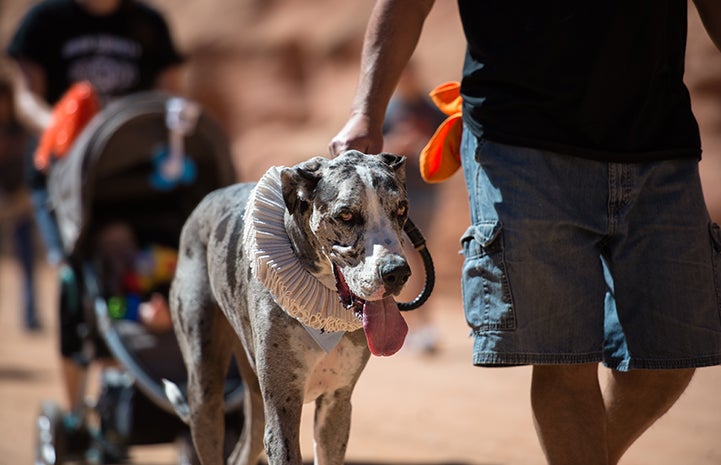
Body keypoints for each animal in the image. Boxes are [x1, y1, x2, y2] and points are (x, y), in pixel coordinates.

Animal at [164, 150, 410, 464]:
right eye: (346, 215)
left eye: (401, 209)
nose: (397, 272)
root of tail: (207, 199)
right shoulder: (282, 412)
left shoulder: (336, 406)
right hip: (204, 394)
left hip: (258, 403)